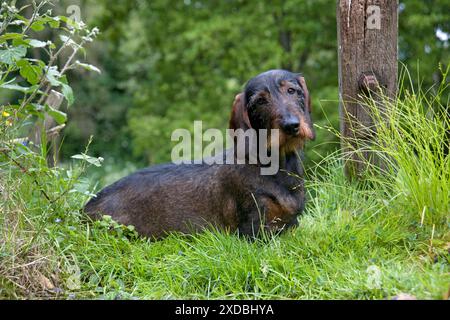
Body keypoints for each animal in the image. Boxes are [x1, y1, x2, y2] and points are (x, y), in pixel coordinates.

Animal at [85, 70, 316, 240]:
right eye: (260, 101)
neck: (277, 166)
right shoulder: (256, 230)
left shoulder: (291, 224)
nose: (291, 125)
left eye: (292, 90)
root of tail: (83, 211)